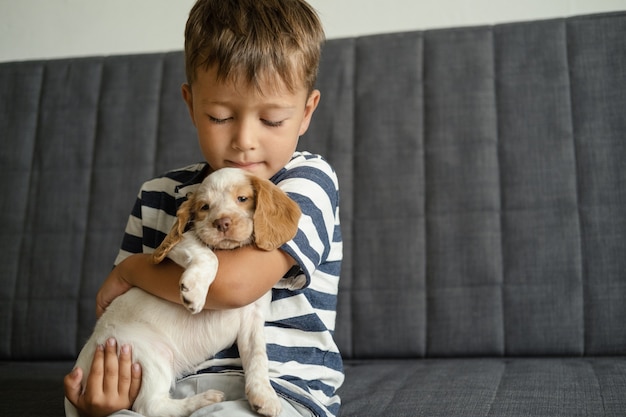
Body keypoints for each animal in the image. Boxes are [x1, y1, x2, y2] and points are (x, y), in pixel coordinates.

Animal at [67, 167, 302, 416]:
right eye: (204, 207)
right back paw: (204, 400)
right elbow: (208, 254)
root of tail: (83, 360)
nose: (222, 223)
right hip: (150, 353)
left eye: (242, 198)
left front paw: (264, 395)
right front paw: (194, 292)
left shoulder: (252, 319)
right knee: (149, 406)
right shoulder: (179, 242)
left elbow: (258, 356)